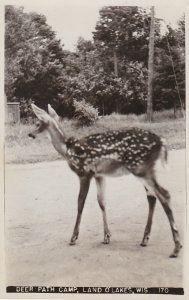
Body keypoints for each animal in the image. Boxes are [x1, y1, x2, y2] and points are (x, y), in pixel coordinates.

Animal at [28, 103, 182, 258]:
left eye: (37, 123)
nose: (30, 134)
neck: (68, 149)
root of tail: (161, 142)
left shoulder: (84, 172)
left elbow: (80, 203)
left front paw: (73, 237)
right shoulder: (99, 175)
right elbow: (101, 201)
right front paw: (107, 236)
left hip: (140, 167)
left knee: (164, 194)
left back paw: (176, 247)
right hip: (144, 169)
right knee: (153, 197)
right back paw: (145, 239)